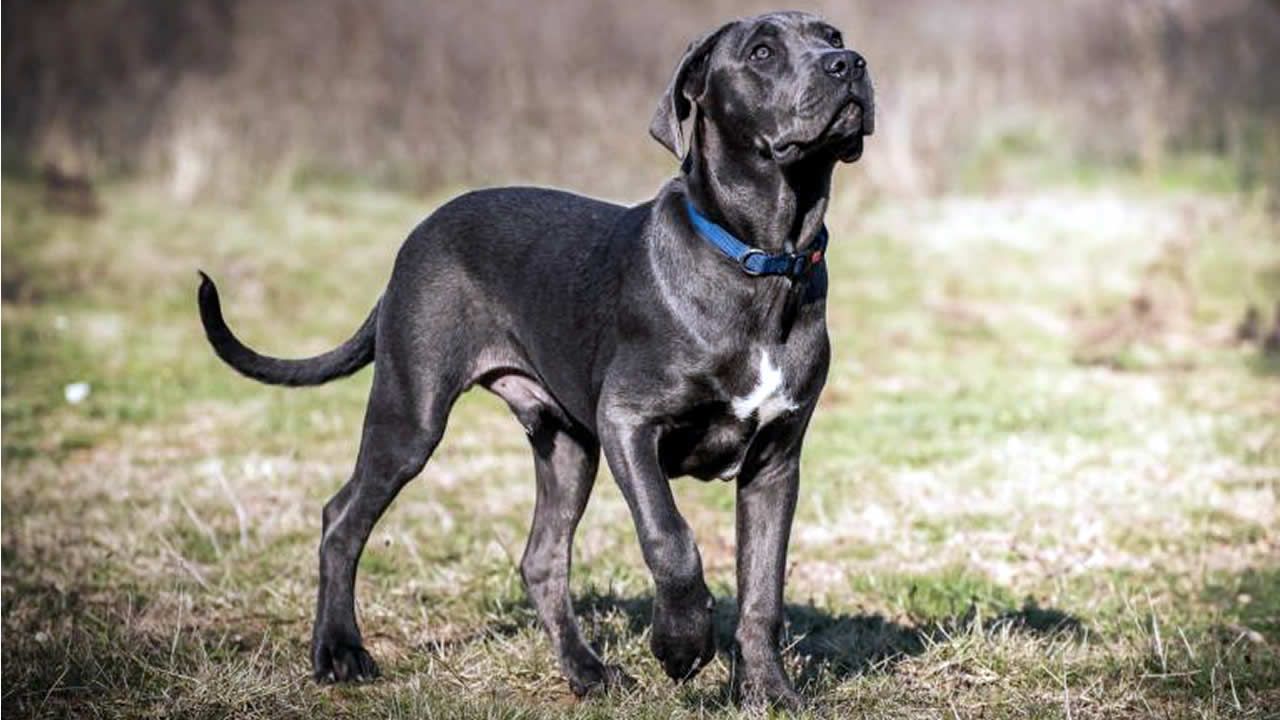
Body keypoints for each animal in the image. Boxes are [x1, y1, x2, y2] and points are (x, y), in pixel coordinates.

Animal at [197, 11, 870, 707]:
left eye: (833, 36)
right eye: (761, 52)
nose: (849, 65)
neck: (762, 261)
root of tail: (417, 237)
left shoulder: (774, 461)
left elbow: (764, 587)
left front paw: (770, 692)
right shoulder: (629, 422)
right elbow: (670, 537)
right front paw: (681, 644)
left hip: (567, 445)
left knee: (541, 558)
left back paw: (588, 670)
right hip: (411, 414)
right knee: (342, 517)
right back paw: (339, 652)